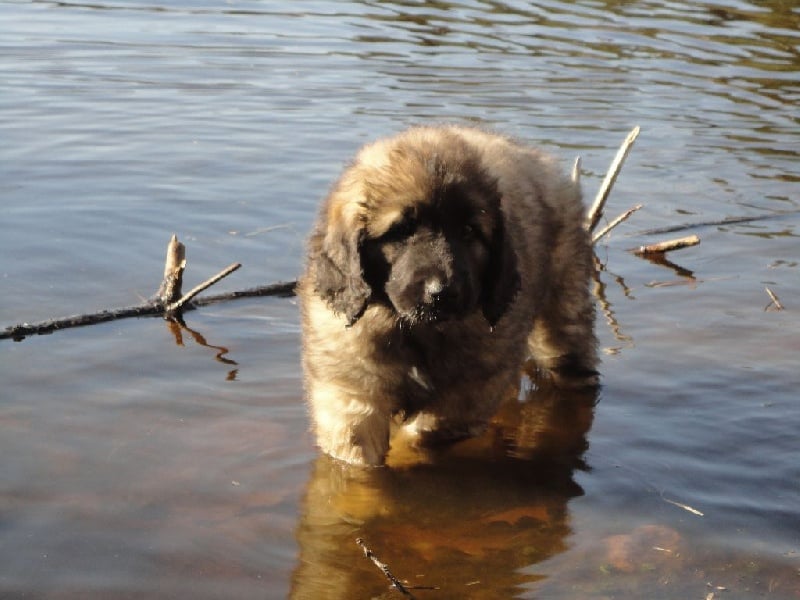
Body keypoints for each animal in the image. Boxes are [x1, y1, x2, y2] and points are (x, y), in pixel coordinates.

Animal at [296, 125, 596, 464]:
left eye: (468, 231)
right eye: (401, 230)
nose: (441, 292)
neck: (414, 332)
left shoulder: (467, 396)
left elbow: (419, 434)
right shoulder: (352, 399)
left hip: (563, 309)